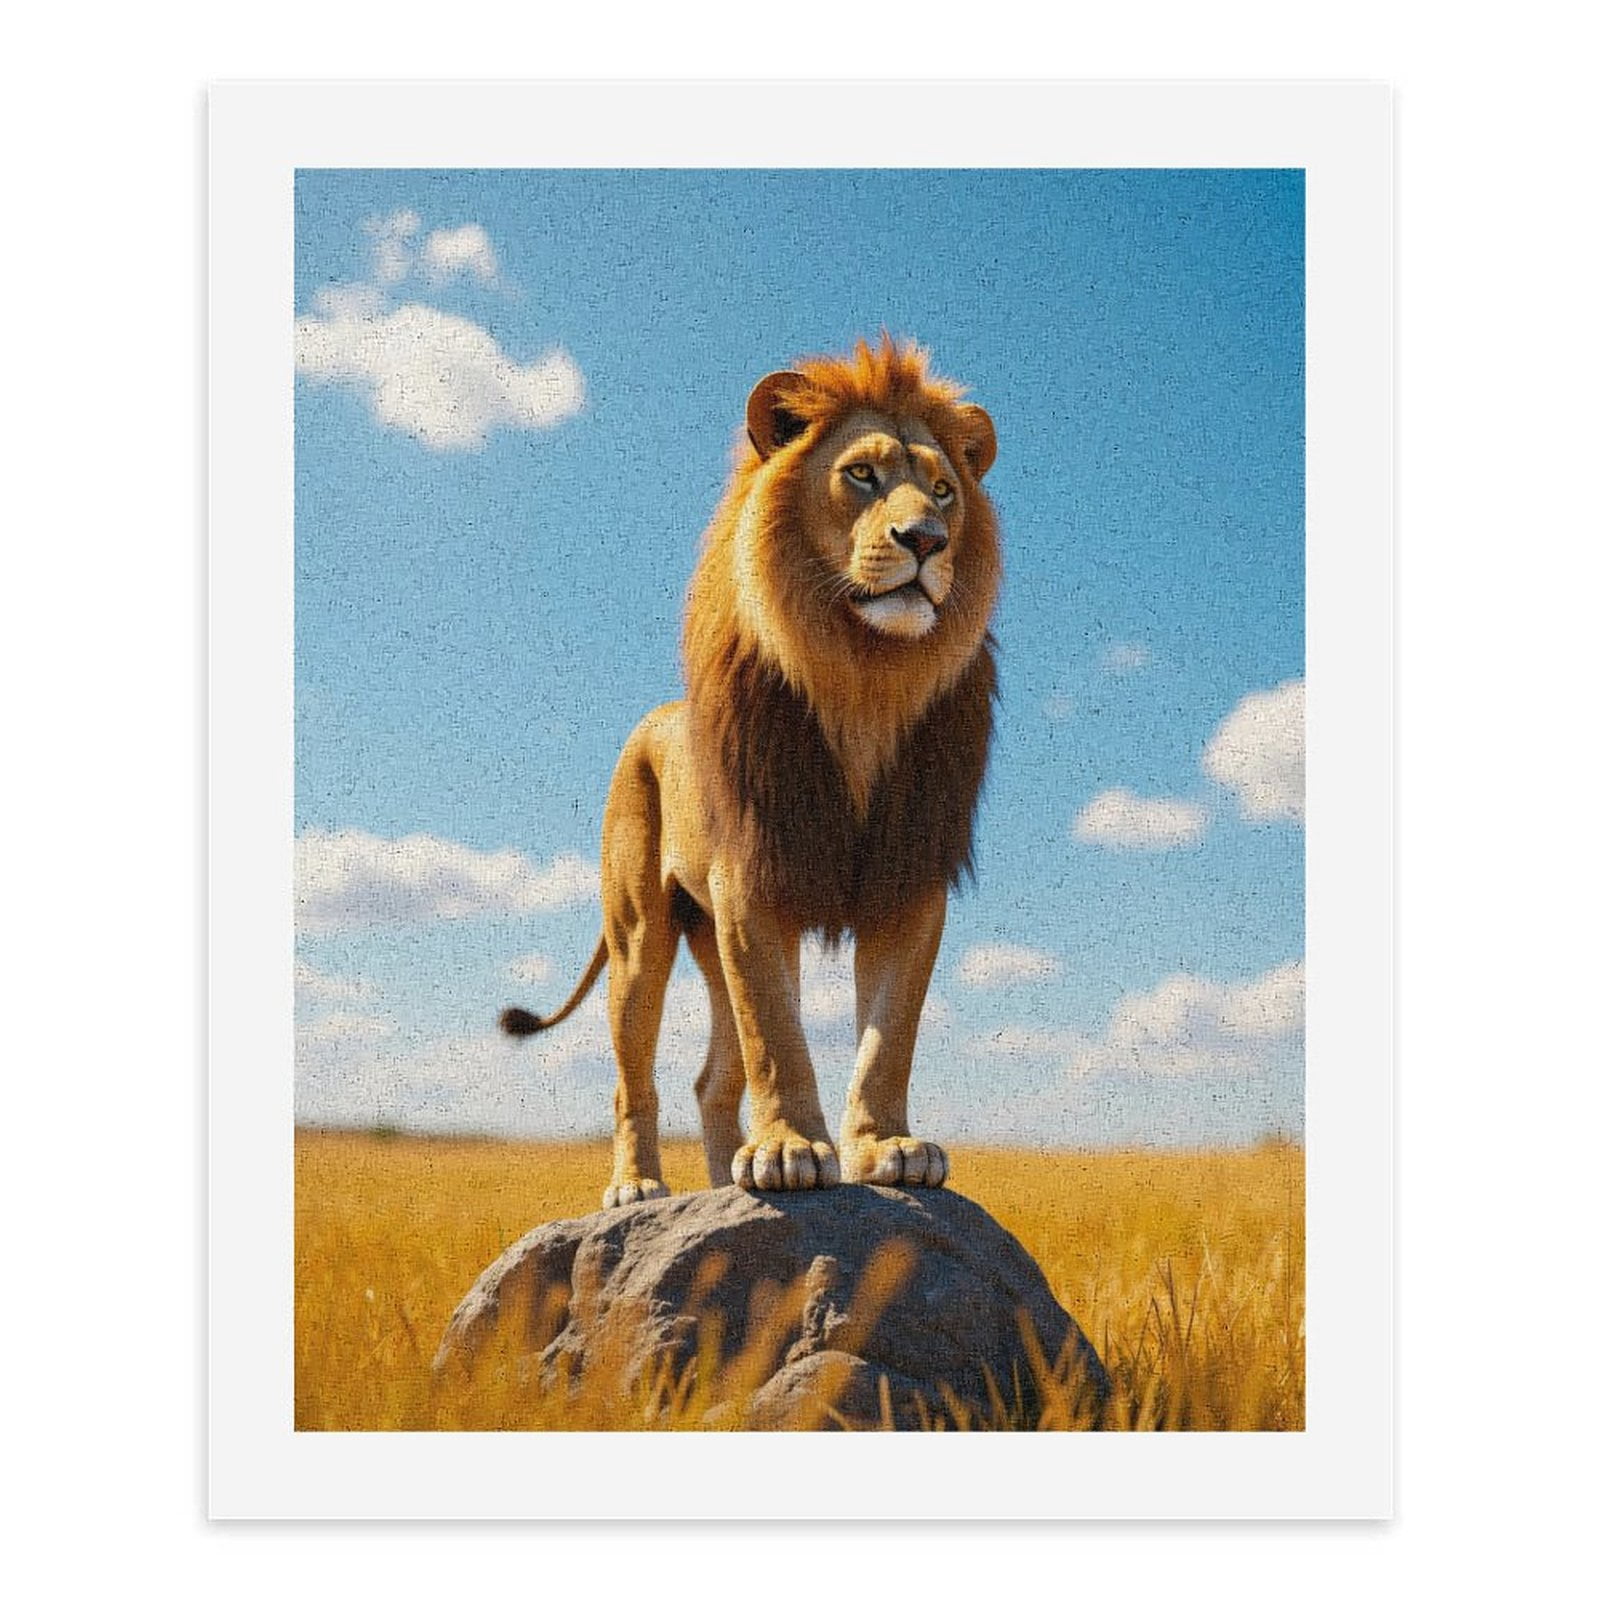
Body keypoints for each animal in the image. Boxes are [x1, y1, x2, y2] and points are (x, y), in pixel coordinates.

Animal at [501, 335, 1001, 1208]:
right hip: (640, 936)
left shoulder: (910, 882)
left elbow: (889, 1035)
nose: (928, 540)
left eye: (944, 489)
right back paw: (640, 1187)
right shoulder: (751, 878)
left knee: (712, 1080)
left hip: (708, 941)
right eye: (861, 475)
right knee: (634, 1075)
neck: (864, 683)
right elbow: (778, 1033)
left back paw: (715, 1183)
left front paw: (887, 1146)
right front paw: (790, 1150)